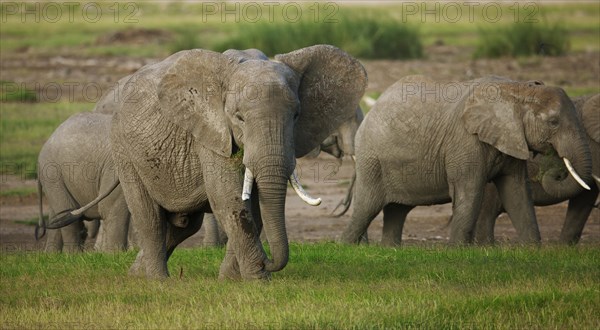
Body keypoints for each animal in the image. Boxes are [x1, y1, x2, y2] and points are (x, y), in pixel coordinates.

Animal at [38, 112, 132, 251]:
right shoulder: (116, 166)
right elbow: (110, 206)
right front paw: (115, 254)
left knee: (57, 216)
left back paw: (52, 254)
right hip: (52, 173)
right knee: (68, 215)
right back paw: (73, 254)